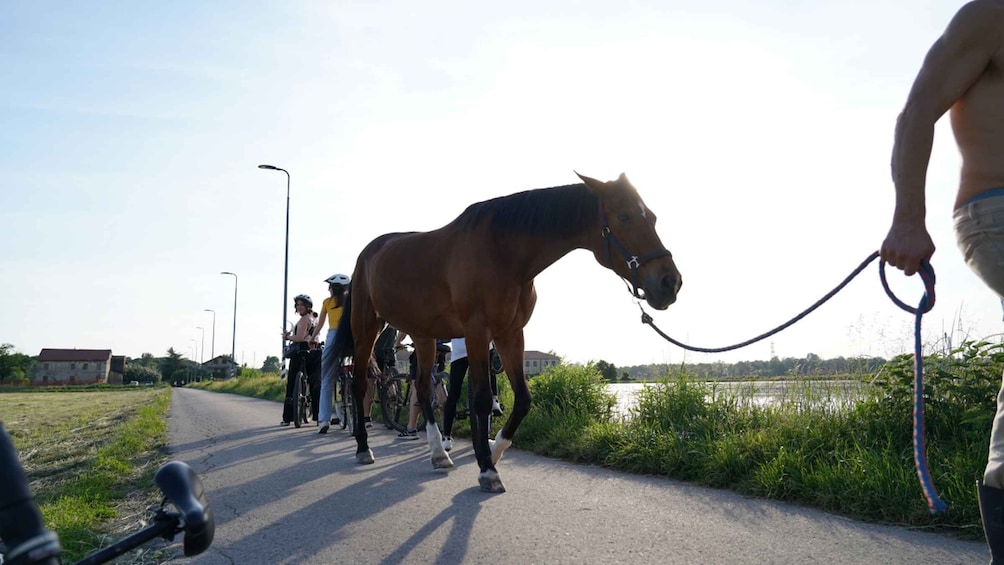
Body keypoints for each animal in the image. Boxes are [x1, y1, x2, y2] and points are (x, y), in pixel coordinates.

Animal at [331, 174, 682, 493]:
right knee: (360, 385)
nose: (670, 282)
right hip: (366, 328)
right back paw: (364, 448)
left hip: (423, 334)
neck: (503, 252)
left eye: (651, 217)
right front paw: (487, 470)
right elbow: (482, 400)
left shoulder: (510, 333)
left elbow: (523, 399)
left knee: (422, 387)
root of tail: (369, 253)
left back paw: (438, 453)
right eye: (623, 217)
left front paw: (493, 451)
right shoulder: (477, 331)